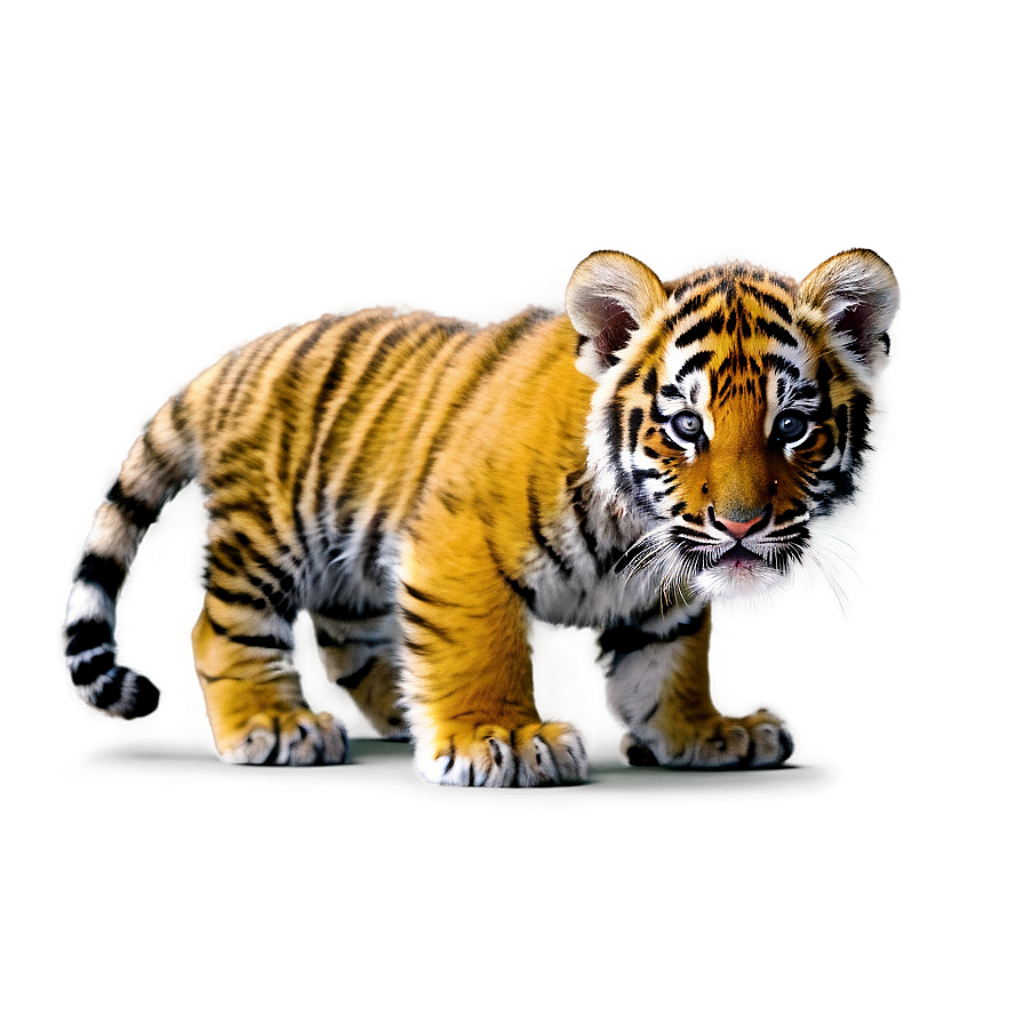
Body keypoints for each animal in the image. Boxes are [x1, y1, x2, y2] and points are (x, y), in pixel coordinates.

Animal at [59, 246, 901, 787]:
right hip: (269, 535)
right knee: (219, 628)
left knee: (347, 639)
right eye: (687, 427)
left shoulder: (659, 594)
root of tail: (225, 359)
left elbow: (664, 663)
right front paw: (499, 738)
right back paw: (272, 721)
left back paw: (400, 708)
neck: (634, 535)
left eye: (791, 426)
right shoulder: (457, 542)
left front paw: (702, 733)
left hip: (350, 552)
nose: (740, 525)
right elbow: (477, 645)